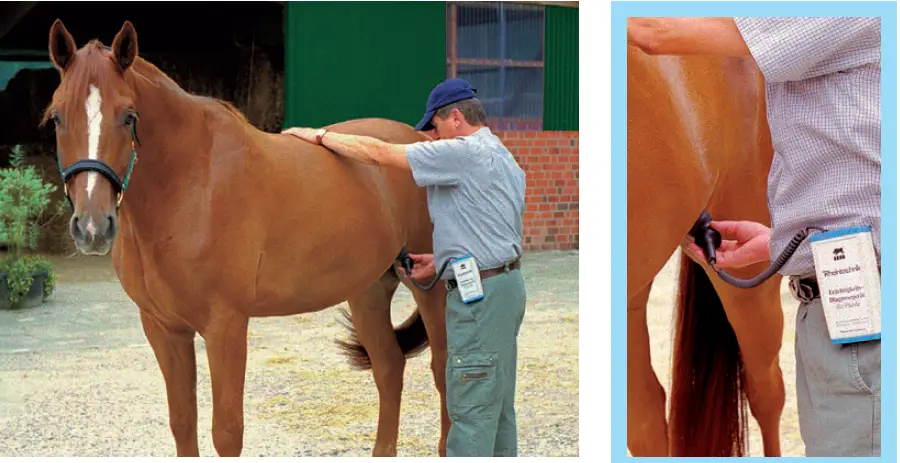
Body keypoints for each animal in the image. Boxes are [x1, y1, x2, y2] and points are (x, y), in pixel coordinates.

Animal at [44, 19, 450, 457]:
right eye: (57, 118)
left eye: (128, 116)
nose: (92, 227)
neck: (191, 184)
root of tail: (421, 143)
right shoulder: (163, 328)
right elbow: (182, 421)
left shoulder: (226, 326)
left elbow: (227, 432)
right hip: (368, 289)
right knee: (389, 368)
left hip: (430, 284)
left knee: (445, 367)